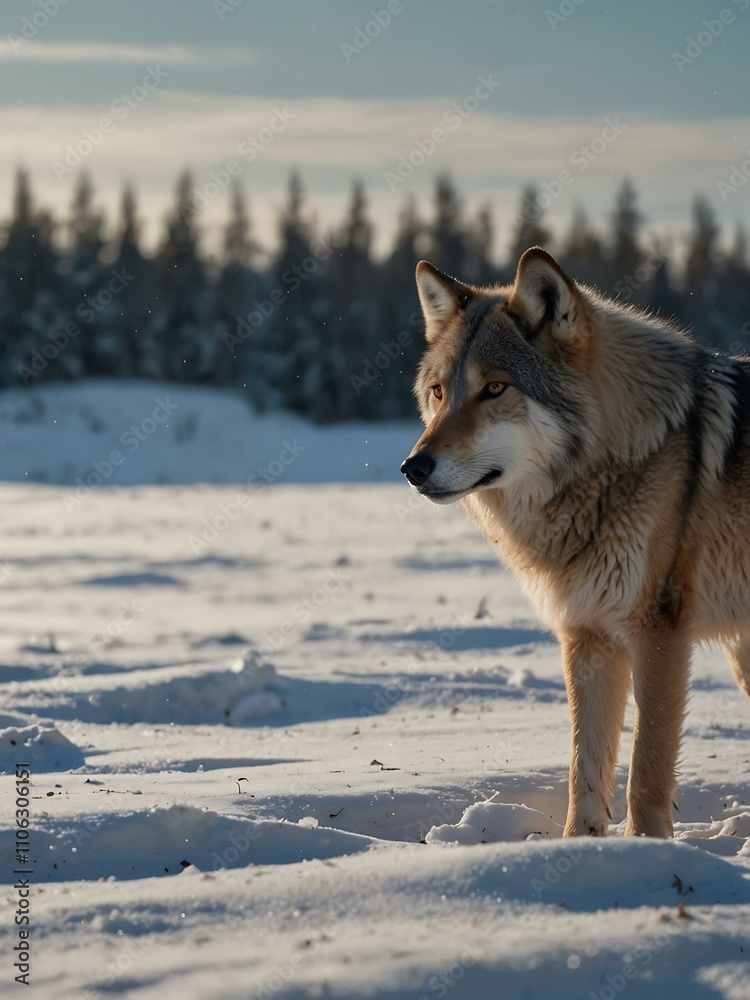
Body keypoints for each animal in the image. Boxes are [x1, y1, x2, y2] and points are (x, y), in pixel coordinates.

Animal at [401, 247, 750, 838]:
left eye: (496, 388)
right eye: (439, 392)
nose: (413, 467)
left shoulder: (659, 632)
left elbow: (645, 773)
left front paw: (647, 851)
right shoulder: (587, 636)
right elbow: (584, 773)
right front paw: (578, 850)